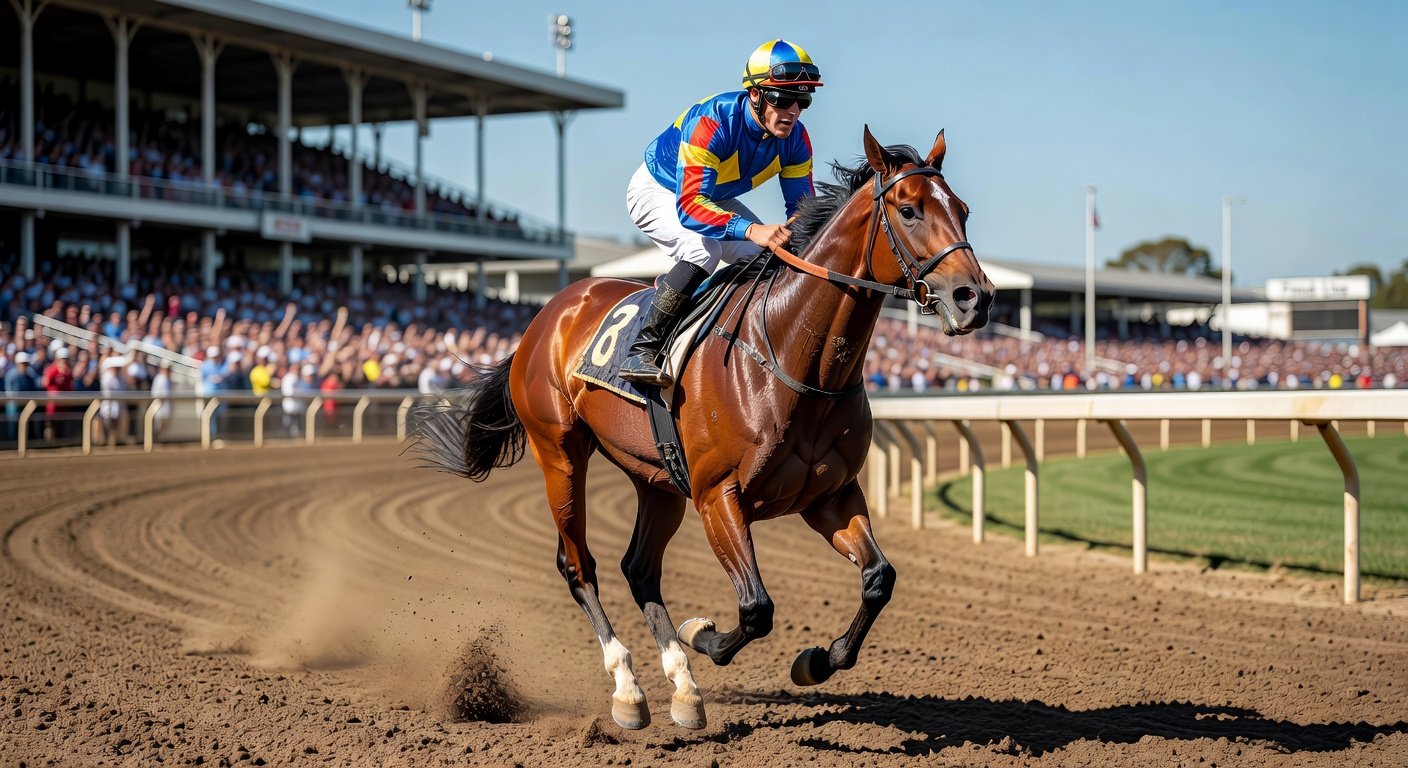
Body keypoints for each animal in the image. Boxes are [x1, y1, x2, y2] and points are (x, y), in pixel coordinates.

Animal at [409, 126, 994, 730]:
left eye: (963, 210)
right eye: (909, 210)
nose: (974, 298)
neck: (792, 357)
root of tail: (549, 311)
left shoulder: (828, 495)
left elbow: (879, 579)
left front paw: (816, 660)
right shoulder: (718, 495)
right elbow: (757, 608)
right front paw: (703, 635)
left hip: (657, 477)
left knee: (639, 568)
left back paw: (683, 689)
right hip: (560, 452)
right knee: (578, 565)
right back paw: (628, 689)